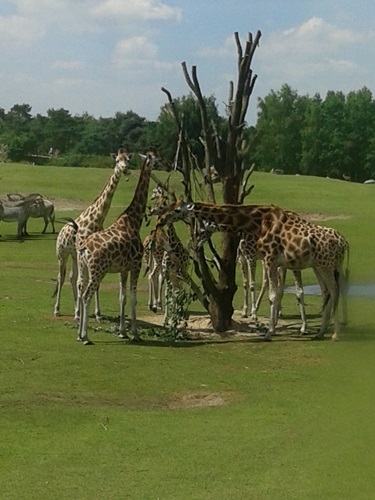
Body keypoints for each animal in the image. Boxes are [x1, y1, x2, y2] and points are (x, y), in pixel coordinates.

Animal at [52, 149, 130, 320]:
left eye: (128, 159)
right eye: (117, 160)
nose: (125, 169)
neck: (96, 220)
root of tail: (60, 232)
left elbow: (93, 283)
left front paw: (97, 313)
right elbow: (83, 282)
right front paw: (78, 314)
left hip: (74, 255)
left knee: (72, 277)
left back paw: (77, 308)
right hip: (62, 253)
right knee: (62, 277)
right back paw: (58, 310)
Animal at [75, 148, 159, 344]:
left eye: (128, 159)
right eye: (155, 158)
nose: (164, 164)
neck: (134, 220)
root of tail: (84, 249)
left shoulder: (123, 268)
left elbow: (122, 297)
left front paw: (122, 331)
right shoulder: (136, 264)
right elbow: (133, 297)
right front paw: (135, 334)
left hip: (85, 268)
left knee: (81, 290)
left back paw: (79, 333)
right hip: (98, 270)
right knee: (87, 294)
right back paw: (85, 336)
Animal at [155, 198, 350, 340]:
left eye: (177, 210)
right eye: (169, 206)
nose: (160, 220)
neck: (257, 221)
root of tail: (343, 242)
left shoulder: (270, 258)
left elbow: (272, 293)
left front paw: (268, 331)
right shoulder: (275, 261)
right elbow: (275, 292)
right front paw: (272, 326)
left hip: (326, 265)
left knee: (334, 290)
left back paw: (334, 334)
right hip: (321, 265)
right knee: (327, 291)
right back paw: (321, 332)